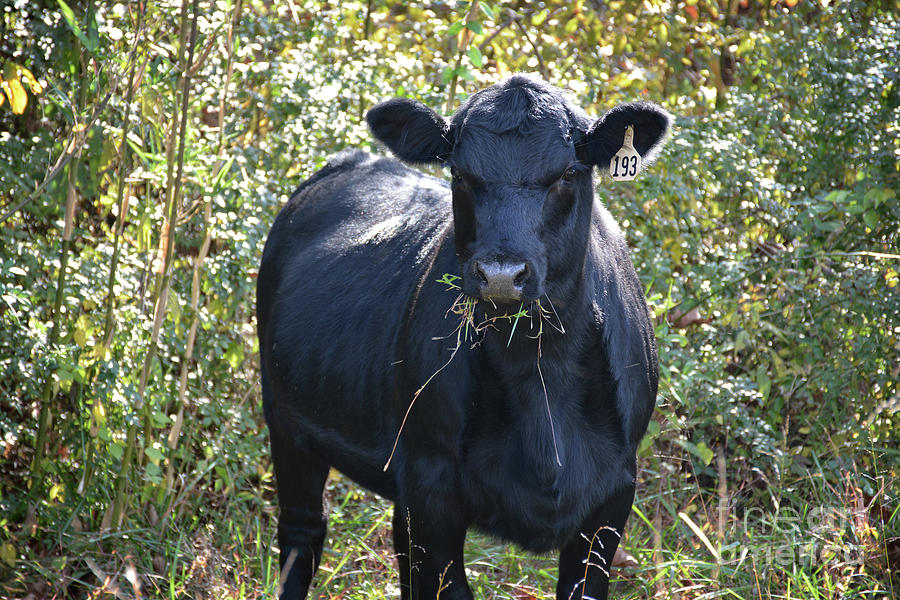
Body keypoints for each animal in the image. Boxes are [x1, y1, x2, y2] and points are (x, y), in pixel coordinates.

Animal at [256, 76, 672, 600]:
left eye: (568, 172)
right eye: (459, 173)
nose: (501, 274)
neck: (539, 377)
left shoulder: (613, 494)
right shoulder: (431, 487)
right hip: (286, 419)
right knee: (302, 534)